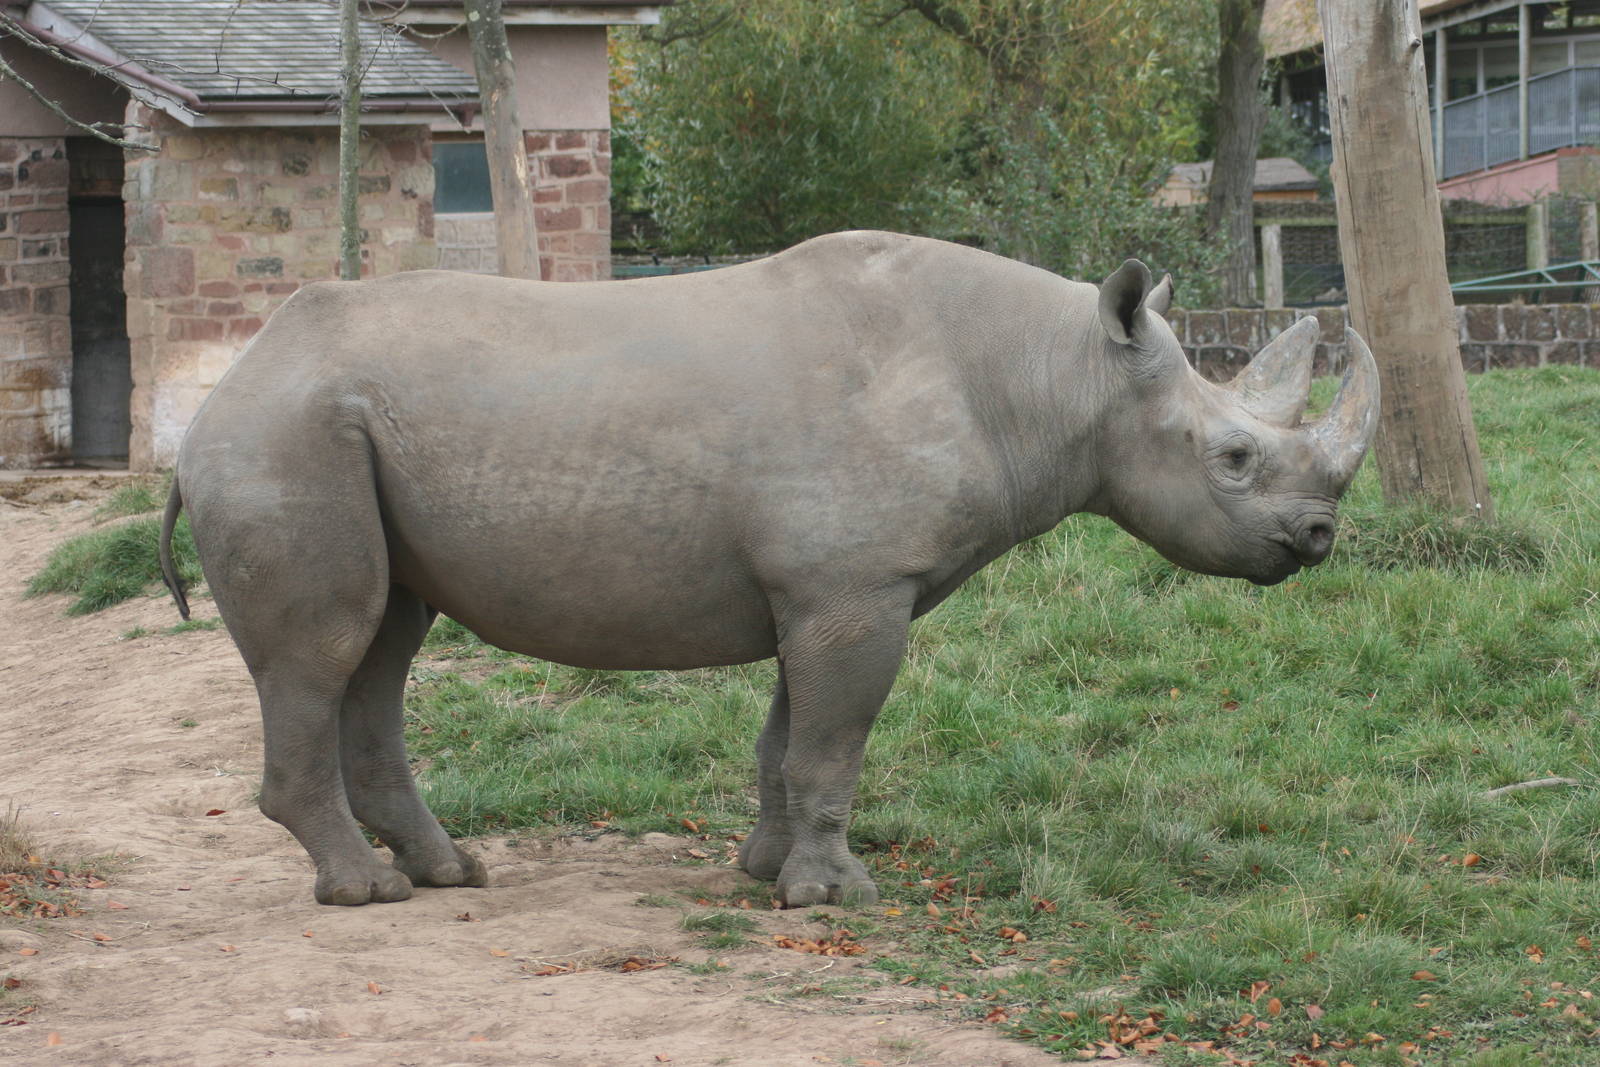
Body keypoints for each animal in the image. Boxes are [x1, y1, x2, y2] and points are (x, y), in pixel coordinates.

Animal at [158, 231, 1378, 908]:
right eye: (1232, 459)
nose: (1319, 540)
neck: (1058, 376)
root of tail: (220, 392)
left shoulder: (830, 588)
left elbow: (791, 736)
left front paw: (762, 870)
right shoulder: (855, 587)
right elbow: (834, 741)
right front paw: (836, 898)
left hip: (325, 430)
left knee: (385, 640)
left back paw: (445, 874)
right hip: (281, 439)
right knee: (327, 648)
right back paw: (363, 892)